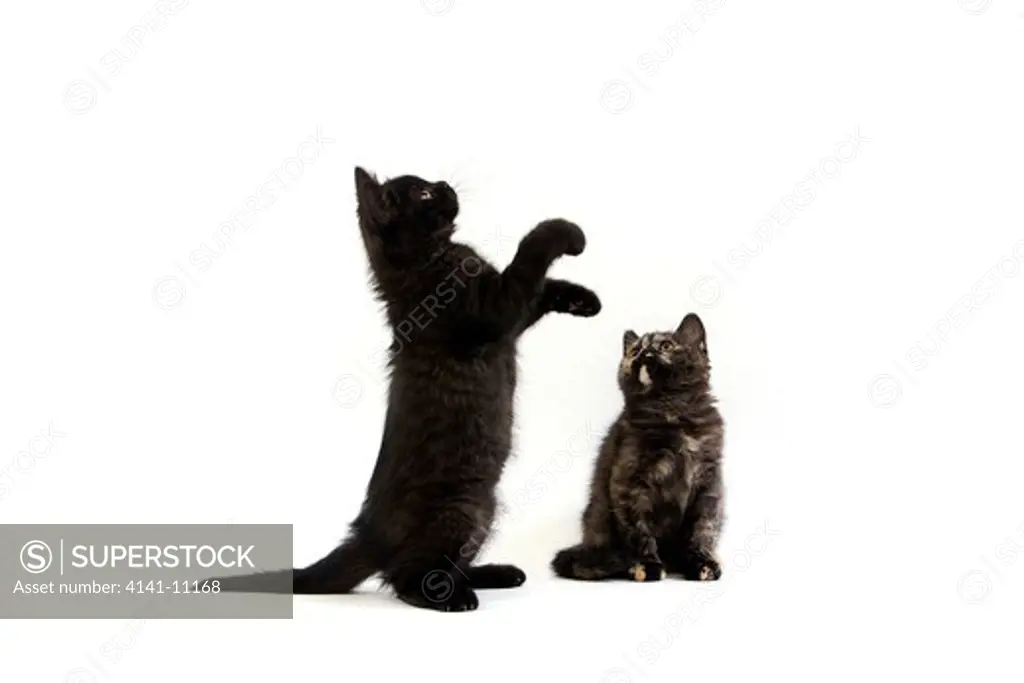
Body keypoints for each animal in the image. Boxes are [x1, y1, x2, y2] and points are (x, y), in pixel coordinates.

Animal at [552, 313, 729, 585]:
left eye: (666, 345)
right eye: (635, 350)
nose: (644, 353)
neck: (671, 412)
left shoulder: (708, 485)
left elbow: (702, 529)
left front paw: (702, 563)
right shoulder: (629, 483)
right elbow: (638, 530)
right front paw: (647, 565)